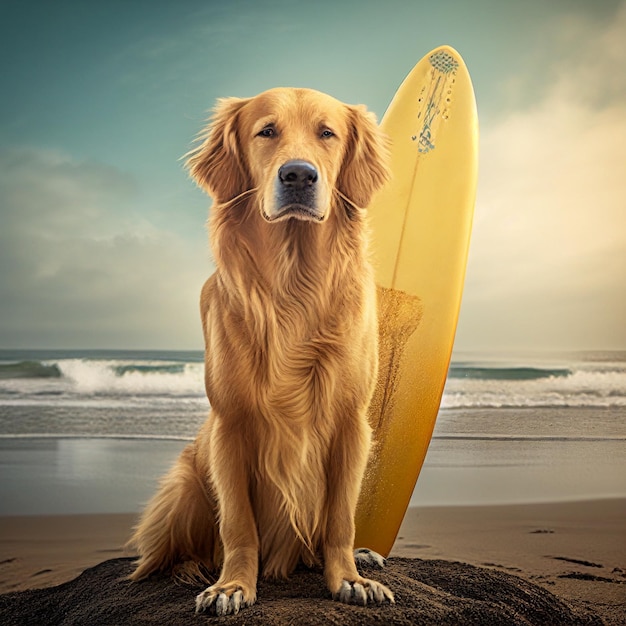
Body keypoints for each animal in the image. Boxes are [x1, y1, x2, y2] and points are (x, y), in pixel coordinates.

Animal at [125, 85, 390, 612]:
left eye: (326, 133)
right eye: (266, 131)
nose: (298, 175)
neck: (293, 285)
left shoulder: (352, 423)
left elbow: (340, 519)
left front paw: (349, 577)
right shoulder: (230, 425)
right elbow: (238, 524)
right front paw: (232, 586)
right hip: (185, 486)